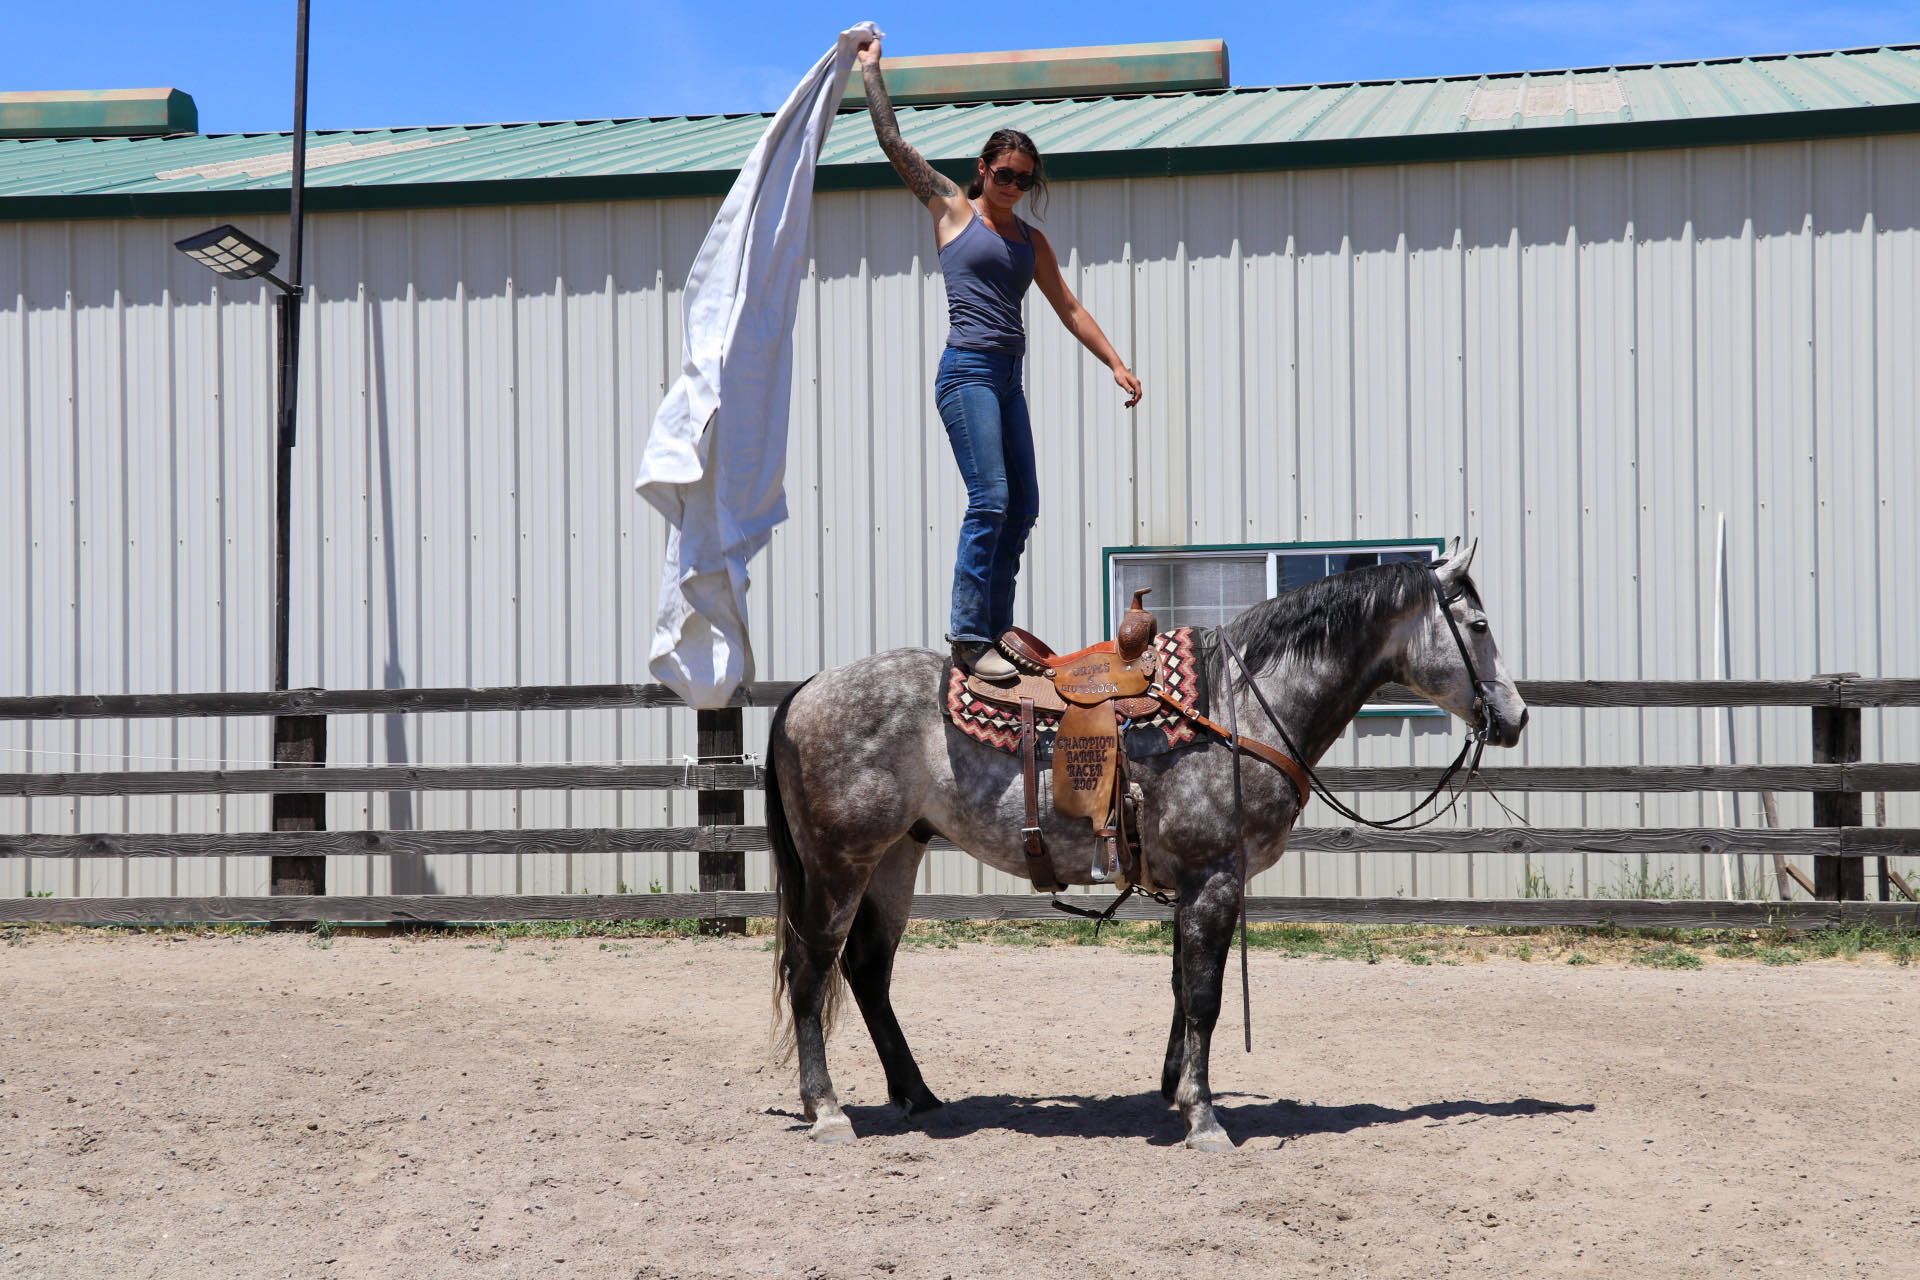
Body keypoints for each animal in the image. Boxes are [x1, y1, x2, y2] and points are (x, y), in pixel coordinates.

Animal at [765, 539, 1528, 1150]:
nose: (1516, 716)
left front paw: (1174, 1089)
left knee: (868, 970)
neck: (1240, 706)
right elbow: (1206, 997)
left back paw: (918, 1095)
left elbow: (1182, 987)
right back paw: (829, 1111)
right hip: (840, 862)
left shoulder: (1194, 884)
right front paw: (1205, 1118)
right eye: (1480, 624)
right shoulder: (1215, 876)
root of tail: (807, 689)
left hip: (898, 855)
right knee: (812, 971)